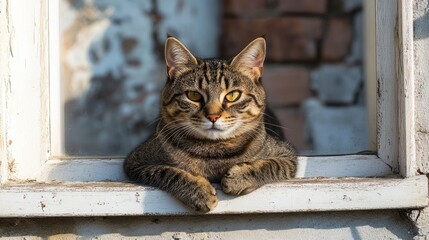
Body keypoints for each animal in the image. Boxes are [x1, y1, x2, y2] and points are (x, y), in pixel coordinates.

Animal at [123, 36, 298, 213]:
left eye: (233, 95)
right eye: (193, 95)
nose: (213, 116)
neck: (214, 152)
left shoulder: (287, 155)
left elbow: (270, 165)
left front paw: (239, 178)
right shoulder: (136, 161)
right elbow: (167, 171)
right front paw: (198, 192)